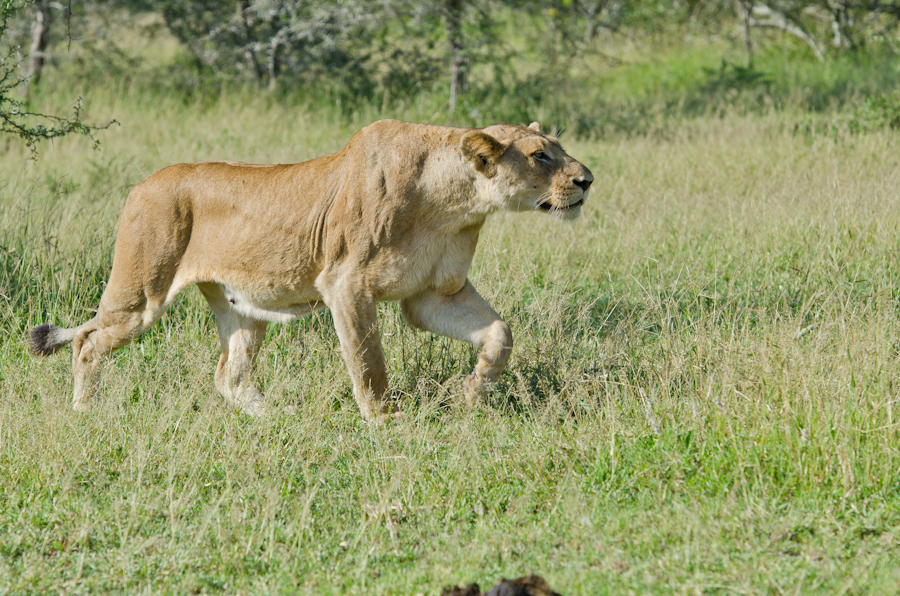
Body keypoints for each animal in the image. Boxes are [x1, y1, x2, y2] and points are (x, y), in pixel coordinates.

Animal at [28, 119, 593, 420]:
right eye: (540, 156)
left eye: (560, 150)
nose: (587, 179)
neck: (455, 205)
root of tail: (142, 184)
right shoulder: (346, 283)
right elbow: (368, 363)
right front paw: (387, 425)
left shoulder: (434, 293)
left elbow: (500, 333)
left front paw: (474, 393)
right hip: (142, 292)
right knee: (88, 340)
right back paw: (85, 413)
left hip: (242, 307)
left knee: (229, 374)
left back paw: (277, 420)